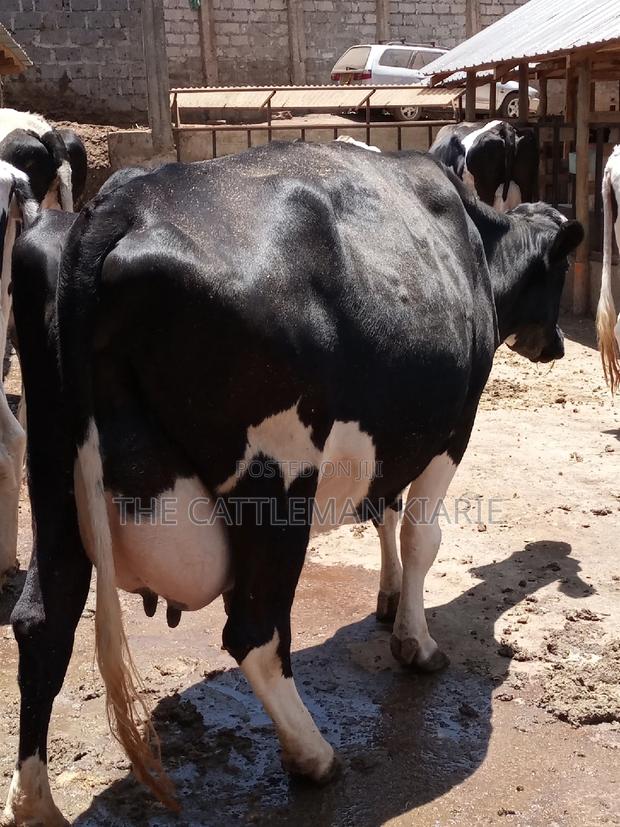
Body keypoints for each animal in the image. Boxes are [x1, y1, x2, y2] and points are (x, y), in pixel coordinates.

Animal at [3, 141, 582, 824]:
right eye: (560, 267)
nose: (555, 347)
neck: (473, 240)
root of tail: (120, 204)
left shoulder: (393, 432)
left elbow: (385, 511)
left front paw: (388, 603)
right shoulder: (451, 427)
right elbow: (421, 538)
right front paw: (417, 644)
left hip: (54, 481)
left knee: (42, 623)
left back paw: (35, 803)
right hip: (275, 489)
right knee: (253, 632)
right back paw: (314, 754)